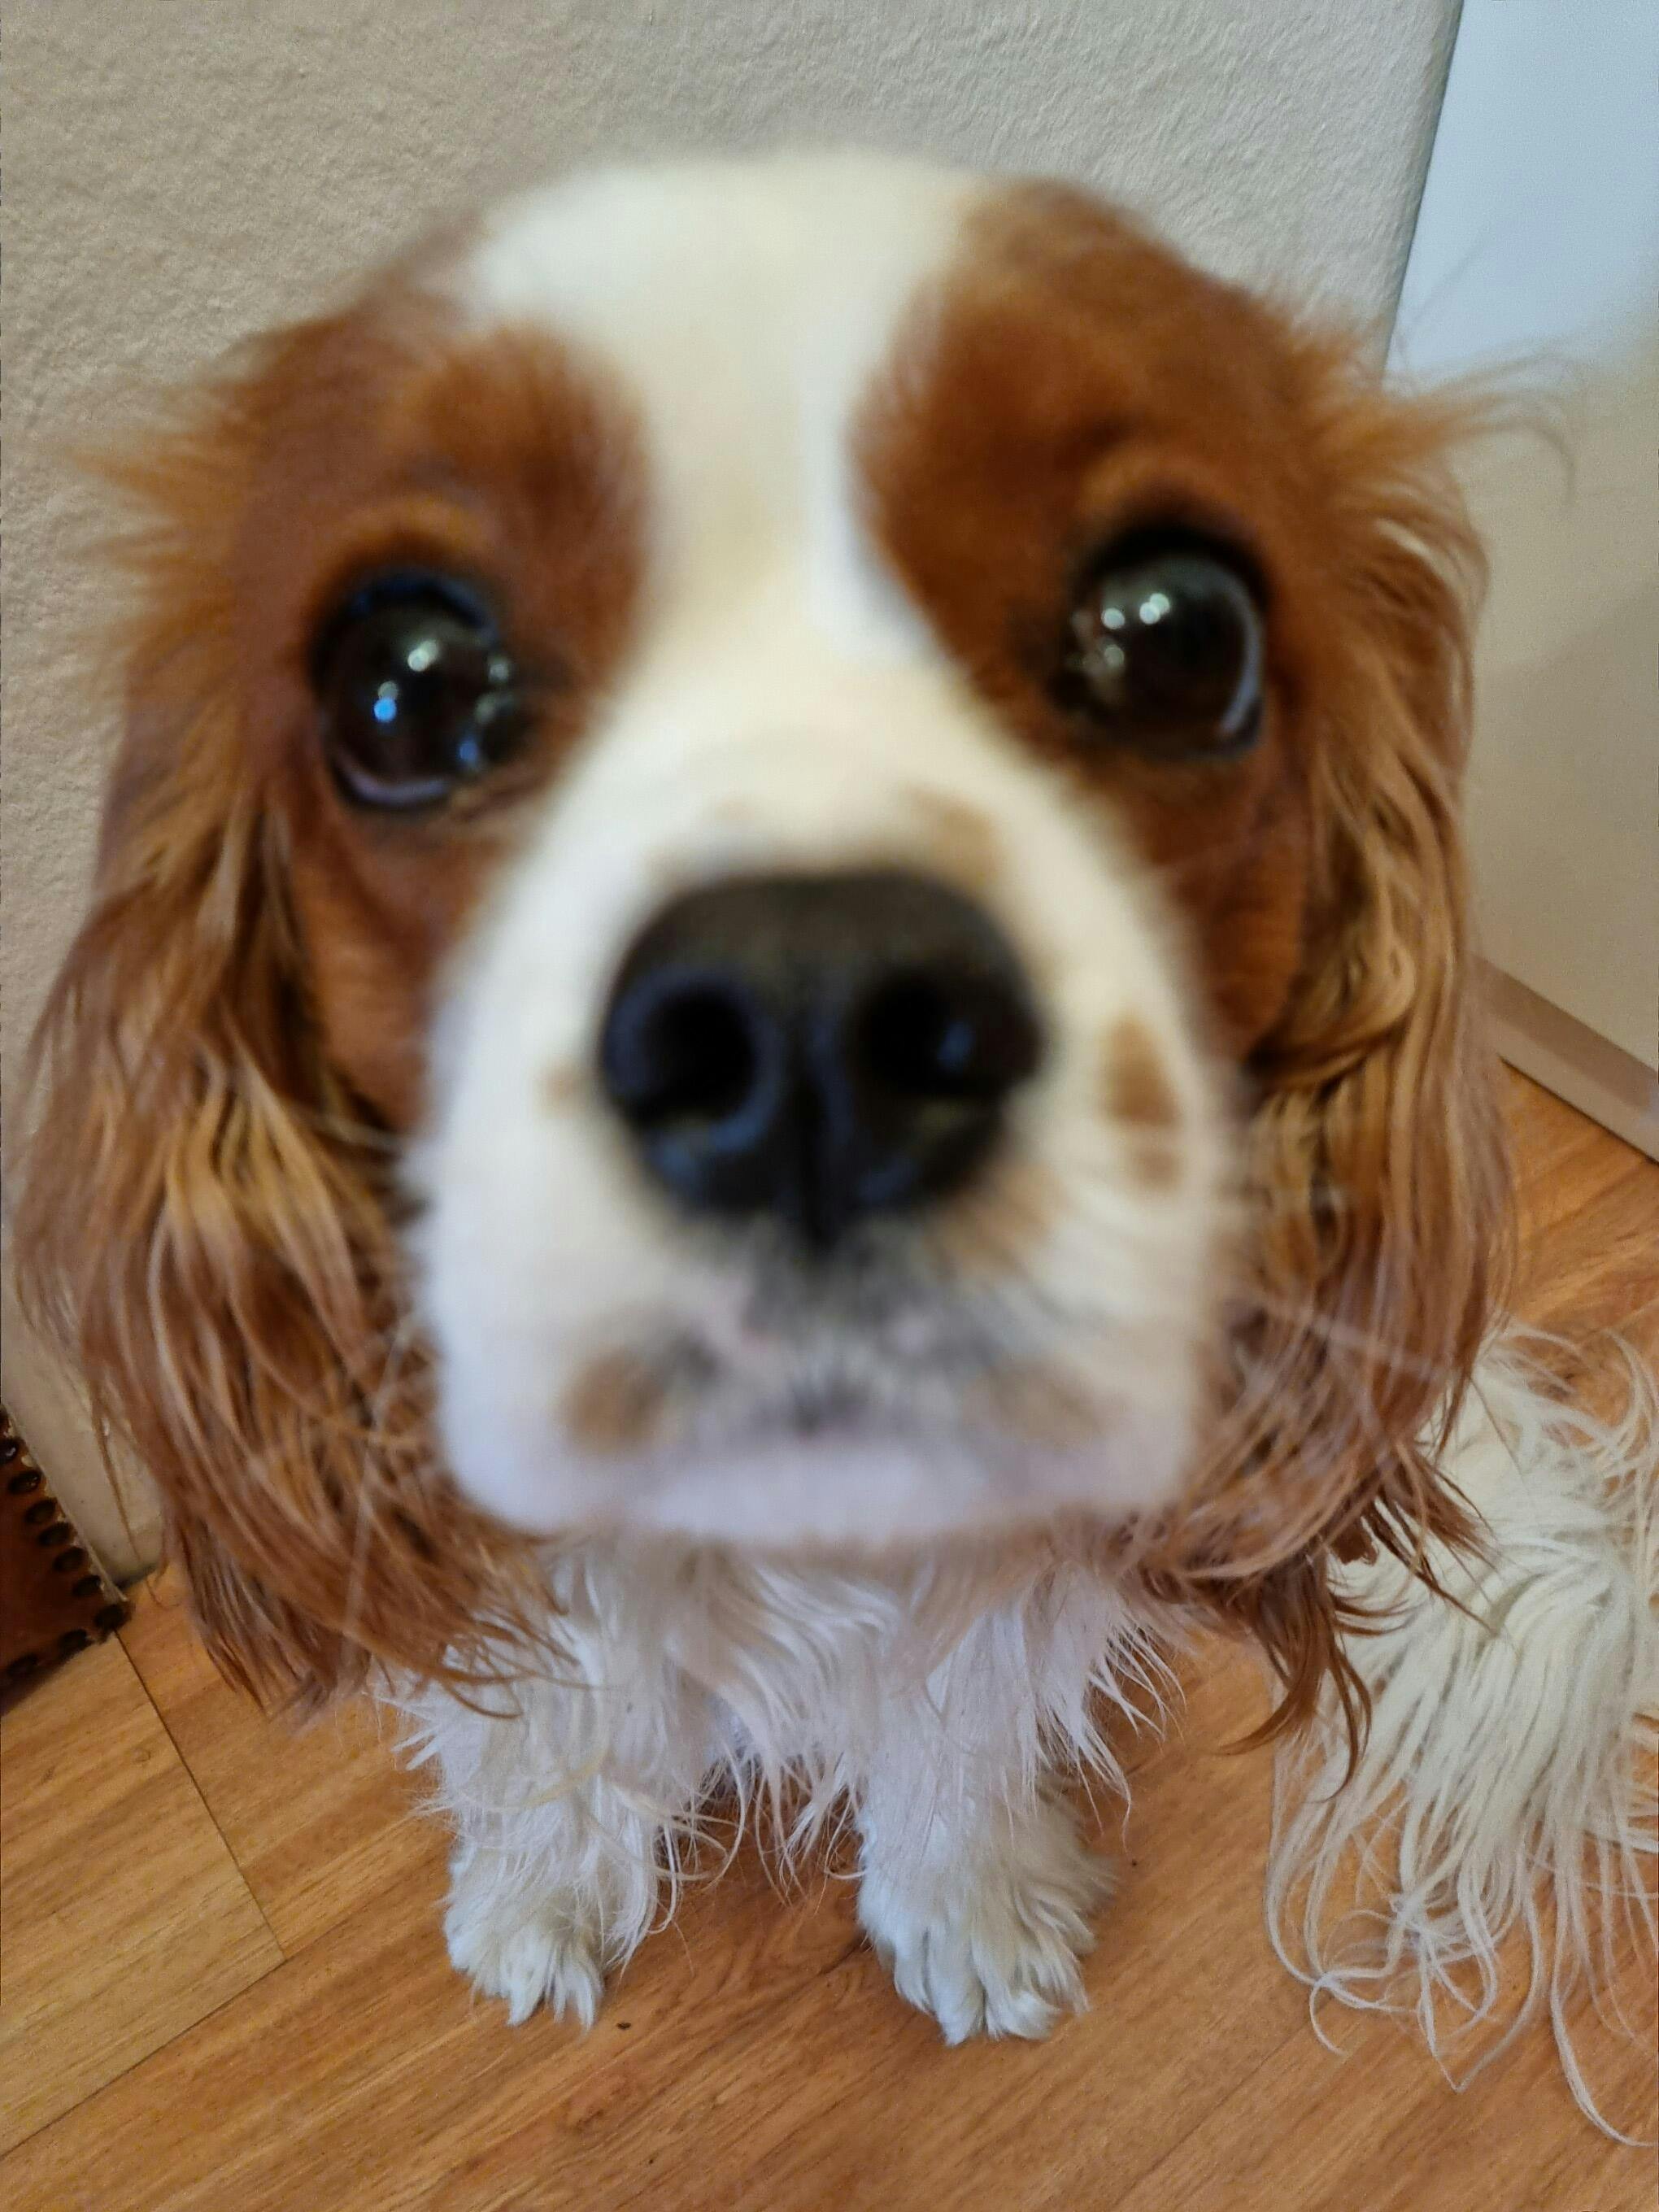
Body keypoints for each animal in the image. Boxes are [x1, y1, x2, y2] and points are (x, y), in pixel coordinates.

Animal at [17, 152, 1655, 2118]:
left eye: (1180, 636)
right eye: (401, 684)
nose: (812, 1019)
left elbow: (955, 1741)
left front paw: (971, 1909)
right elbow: (552, 1736)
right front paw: (542, 1893)